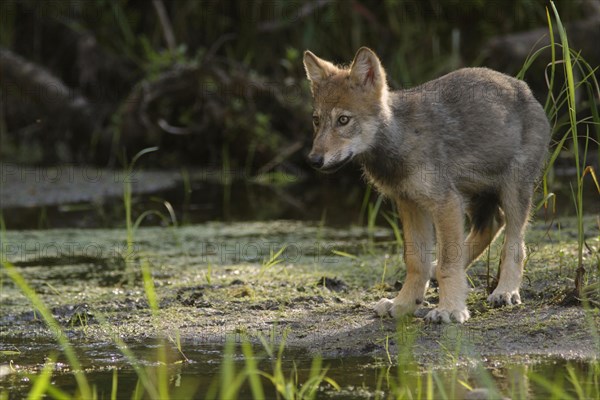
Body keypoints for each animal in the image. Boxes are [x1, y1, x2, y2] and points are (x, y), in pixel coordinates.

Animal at [302, 47, 552, 322]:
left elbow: (448, 264)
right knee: (493, 224)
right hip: (472, 198)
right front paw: (403, 304)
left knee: (514, 245)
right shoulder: (410, 204)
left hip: (512, 193)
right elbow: (415, 262)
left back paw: (505, 292)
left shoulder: (444, 203)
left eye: (343, 120)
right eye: (316, 120)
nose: (314, 160)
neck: (400, 140)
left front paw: (450, 309)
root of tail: (524, 88)